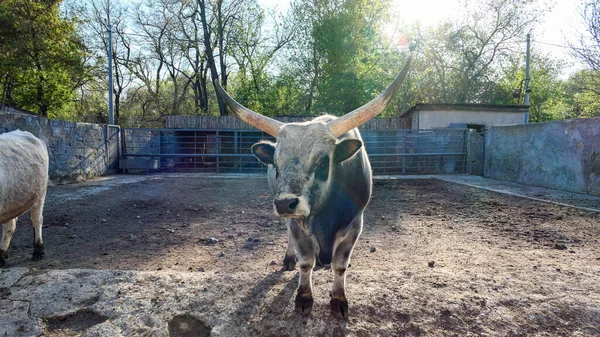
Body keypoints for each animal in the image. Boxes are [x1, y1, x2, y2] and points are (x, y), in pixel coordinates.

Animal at [214, 55, 412, 318]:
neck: (326, 216)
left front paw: (339, 299)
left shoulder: (356, 223)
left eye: (323, 162)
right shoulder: (299, 223)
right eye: (276, 164)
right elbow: (305, 261)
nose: (284, 203)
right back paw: (290, 259)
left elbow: (340, 265)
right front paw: (304, 297)